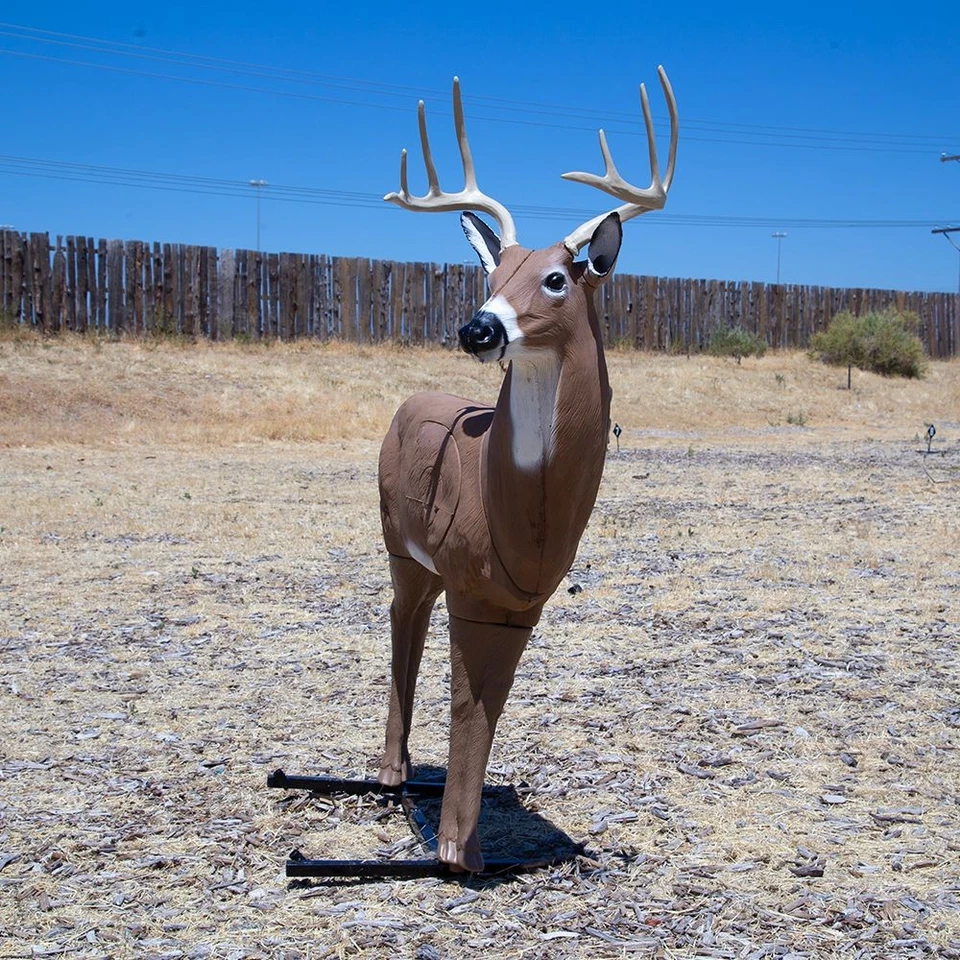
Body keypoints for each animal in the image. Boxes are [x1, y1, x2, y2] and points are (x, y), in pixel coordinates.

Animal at [376, 68, 678, 872]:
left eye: (554, 280)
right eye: (493, 271)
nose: (476, 327)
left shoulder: (519, 604)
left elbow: (489, 708)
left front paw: (468, 850)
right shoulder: (470, 584)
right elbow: (466, 705)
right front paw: (453, 852)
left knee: (412, 626)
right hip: (399, 548)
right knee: (401, 621)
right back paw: (390, 775)